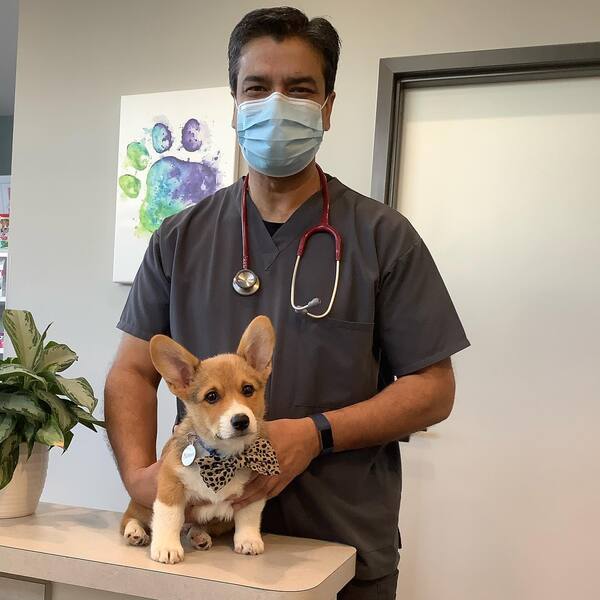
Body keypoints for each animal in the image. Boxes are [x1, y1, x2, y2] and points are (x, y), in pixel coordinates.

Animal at [120, 315, 279, 564]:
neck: (222, 458)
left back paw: (199, 535)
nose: (241, 420)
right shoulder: (170, 484)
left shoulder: (253, 493)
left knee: (196, 525)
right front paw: (166, 547)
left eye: (248, 389)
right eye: (211, 396)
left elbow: (248, 517)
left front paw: (249, 540)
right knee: (130, 517)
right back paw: (135, 532)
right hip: (140, 503)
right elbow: (169, 517)